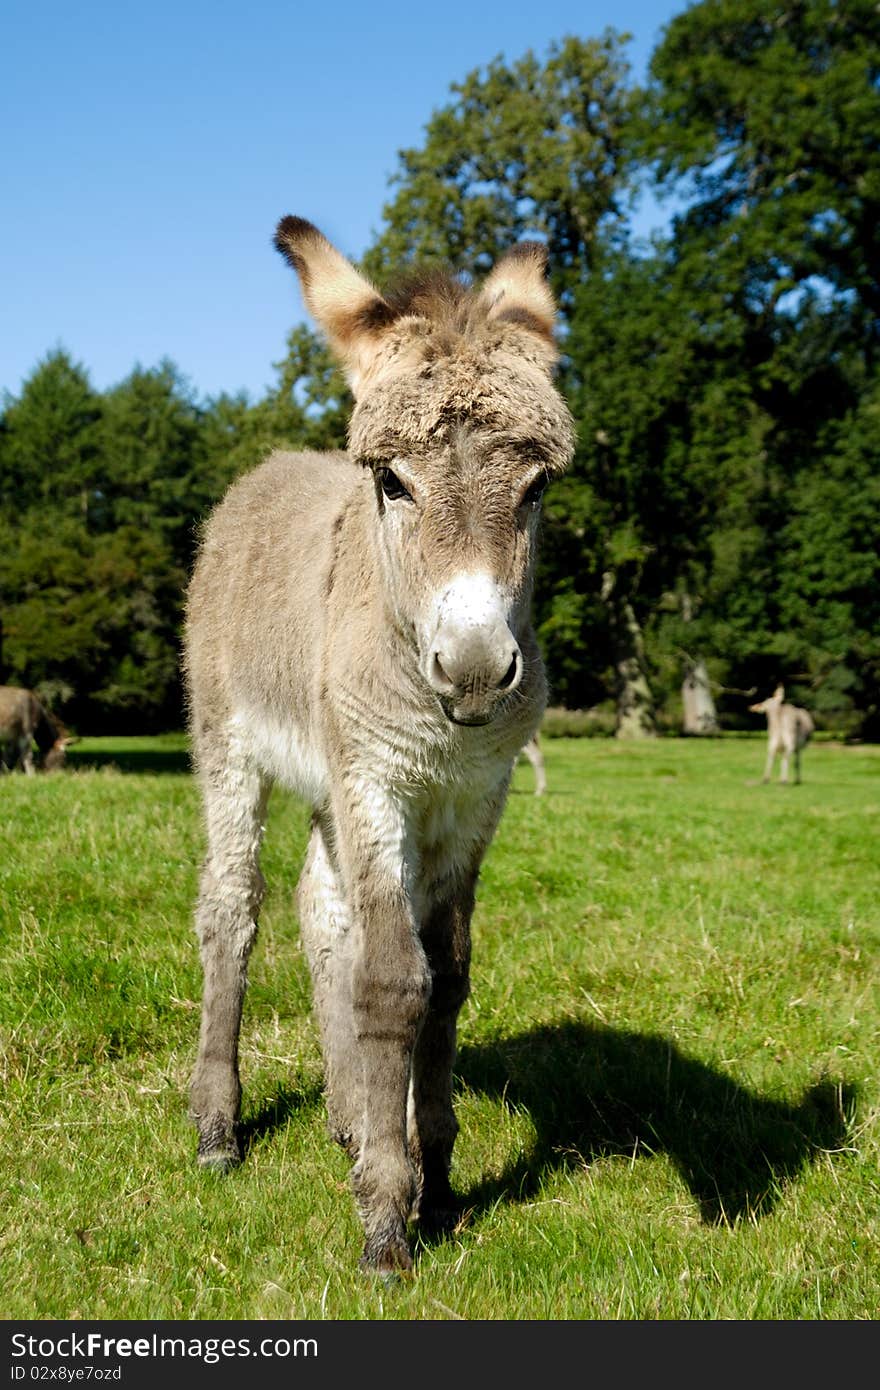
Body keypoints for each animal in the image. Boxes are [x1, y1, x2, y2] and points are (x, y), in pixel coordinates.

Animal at [182, 214, 572, 1273]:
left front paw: (433, 1172)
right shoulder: (377, 779)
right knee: (233, 910)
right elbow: (396, 979)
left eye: (536, 489)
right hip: (230, 744)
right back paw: (219, 1128)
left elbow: (448, 976)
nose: (474, 669)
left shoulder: (470, 798)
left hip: (332, 785)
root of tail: (270, 465)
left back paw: (352, 1116)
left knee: (323, 914)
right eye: (391, 481)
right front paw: (388, 1222)